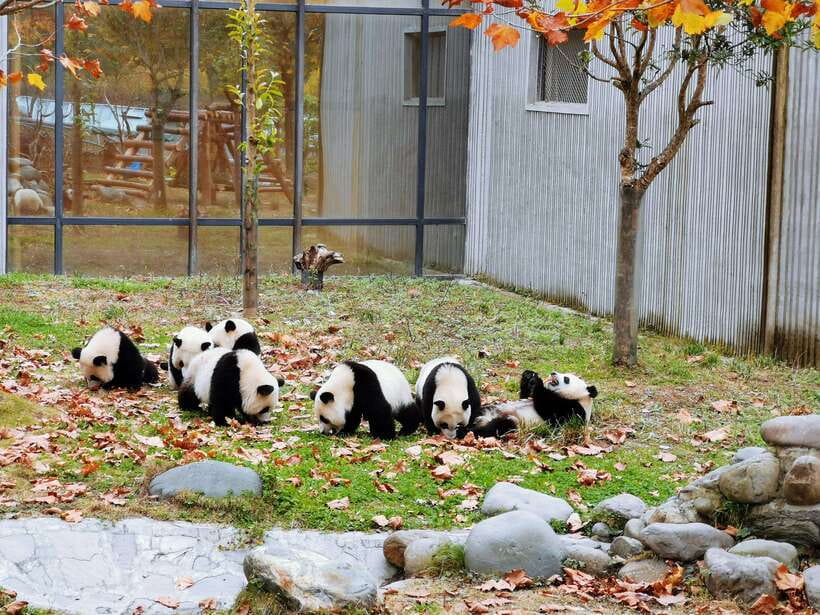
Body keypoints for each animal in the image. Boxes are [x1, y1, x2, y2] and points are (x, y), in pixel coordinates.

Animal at [469, 370, 598, 441]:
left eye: (566, 379)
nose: (553, 373)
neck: (580, 399)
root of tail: (483, 419)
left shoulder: (575, 411)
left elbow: (553, 414)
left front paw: (537, 382)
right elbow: (525, 396)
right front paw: (528, 377)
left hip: (515, 422)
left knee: (499, 427)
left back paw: (473, 431)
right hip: (490, 408)